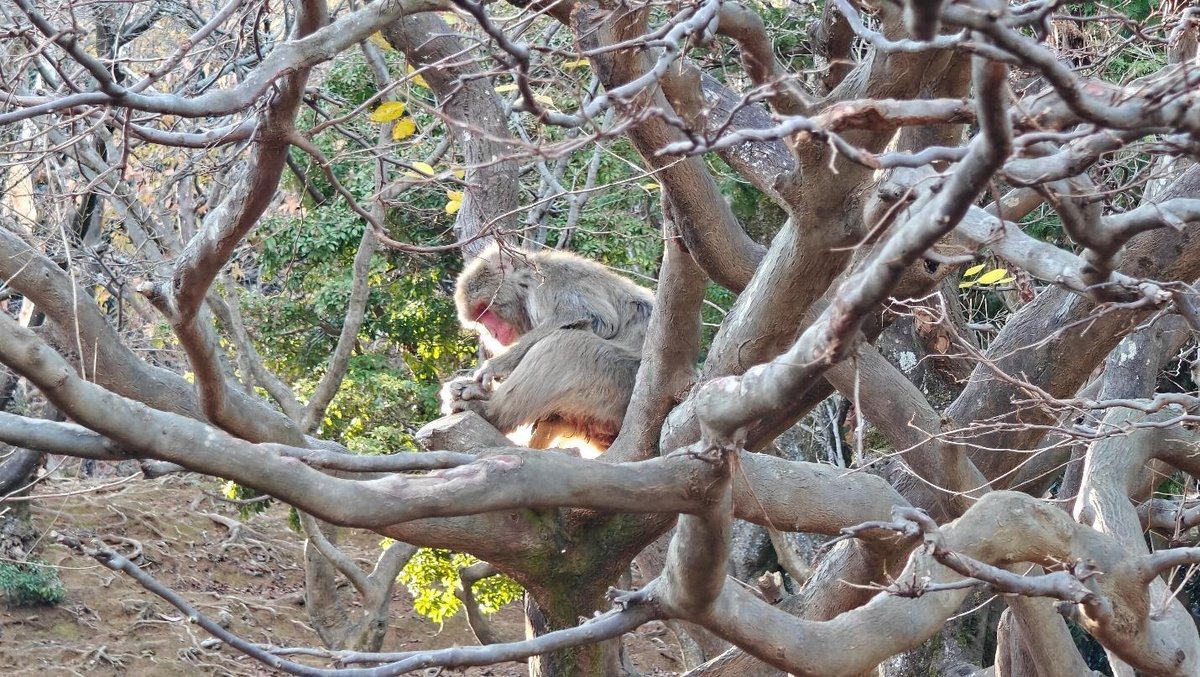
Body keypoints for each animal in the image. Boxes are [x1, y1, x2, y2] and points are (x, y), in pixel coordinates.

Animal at [441, 245, 654, 450]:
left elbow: (588, 316)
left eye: (485, 309)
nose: (492, 333)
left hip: (621, 383)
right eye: (480, 318)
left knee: (565, 344)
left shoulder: (550, 282)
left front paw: (496, 366)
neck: (525, 287)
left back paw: (489, 411)